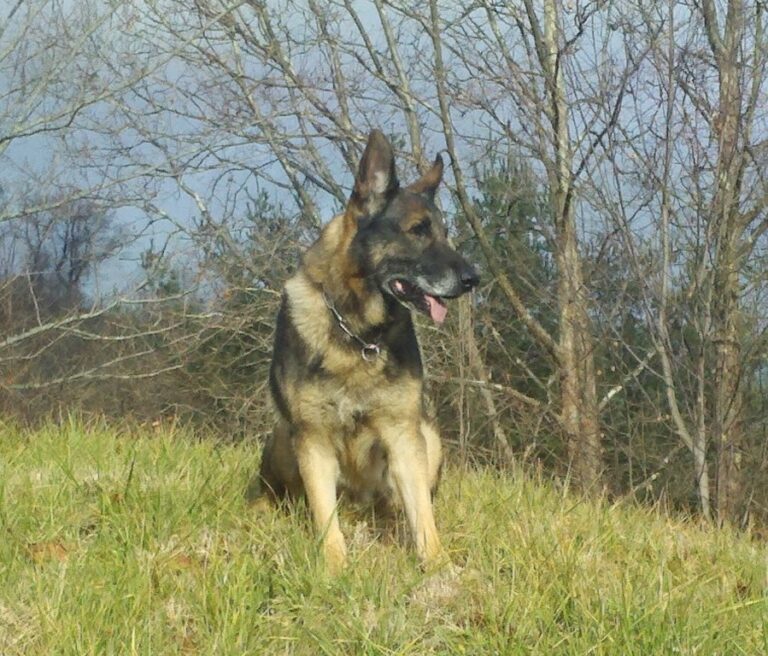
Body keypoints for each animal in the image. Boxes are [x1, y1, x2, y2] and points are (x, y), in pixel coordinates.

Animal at [255, 131, 476, 572]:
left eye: (445, 233)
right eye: (418, 230)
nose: (473, 278)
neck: (357, 332)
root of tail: (360, 506)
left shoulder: (403, 434)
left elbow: (423, 515)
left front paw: (437, 566)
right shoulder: (313, 439)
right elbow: (325, 516)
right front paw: (335, 568)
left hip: (428, 438)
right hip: (284, 436)